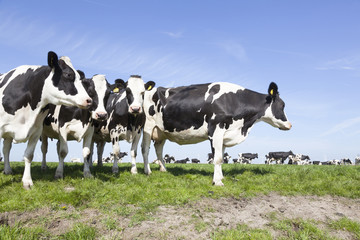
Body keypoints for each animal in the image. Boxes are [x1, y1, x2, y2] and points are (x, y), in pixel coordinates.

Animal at [142, 81, 292, 185]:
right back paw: (147, 171)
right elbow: (218, 158)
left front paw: (220, 177)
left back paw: (163, 169)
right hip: (147, 127)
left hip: (161, 132)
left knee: (158, 149)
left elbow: (220, 157)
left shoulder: (225, 135)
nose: (290, 125)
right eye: (282, 105)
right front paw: (218, 182)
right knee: (145, 149)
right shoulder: (215, 130)